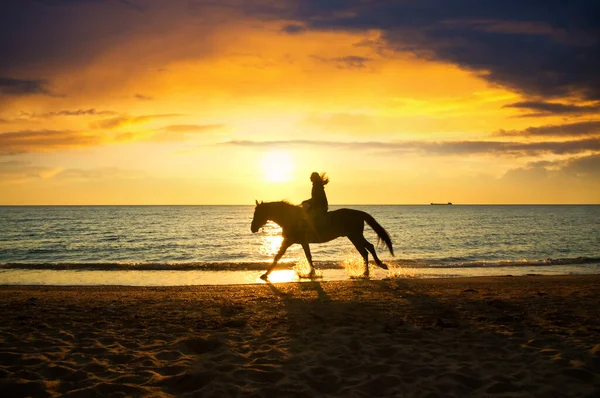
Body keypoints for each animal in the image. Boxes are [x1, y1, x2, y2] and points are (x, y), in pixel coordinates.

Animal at [250, 199, 394, 280]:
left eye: (258, 213)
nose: (252, 228)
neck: (291, 218)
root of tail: (359, 213)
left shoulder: (288, 242)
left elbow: (277, 257)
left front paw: (265, 274)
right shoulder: (303, 242)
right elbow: (308, 257)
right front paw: (312, 273)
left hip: (354, 236)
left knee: (364, 251)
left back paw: (365, 273)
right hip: (355, 236)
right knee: (369, 247)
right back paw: (379, 266)